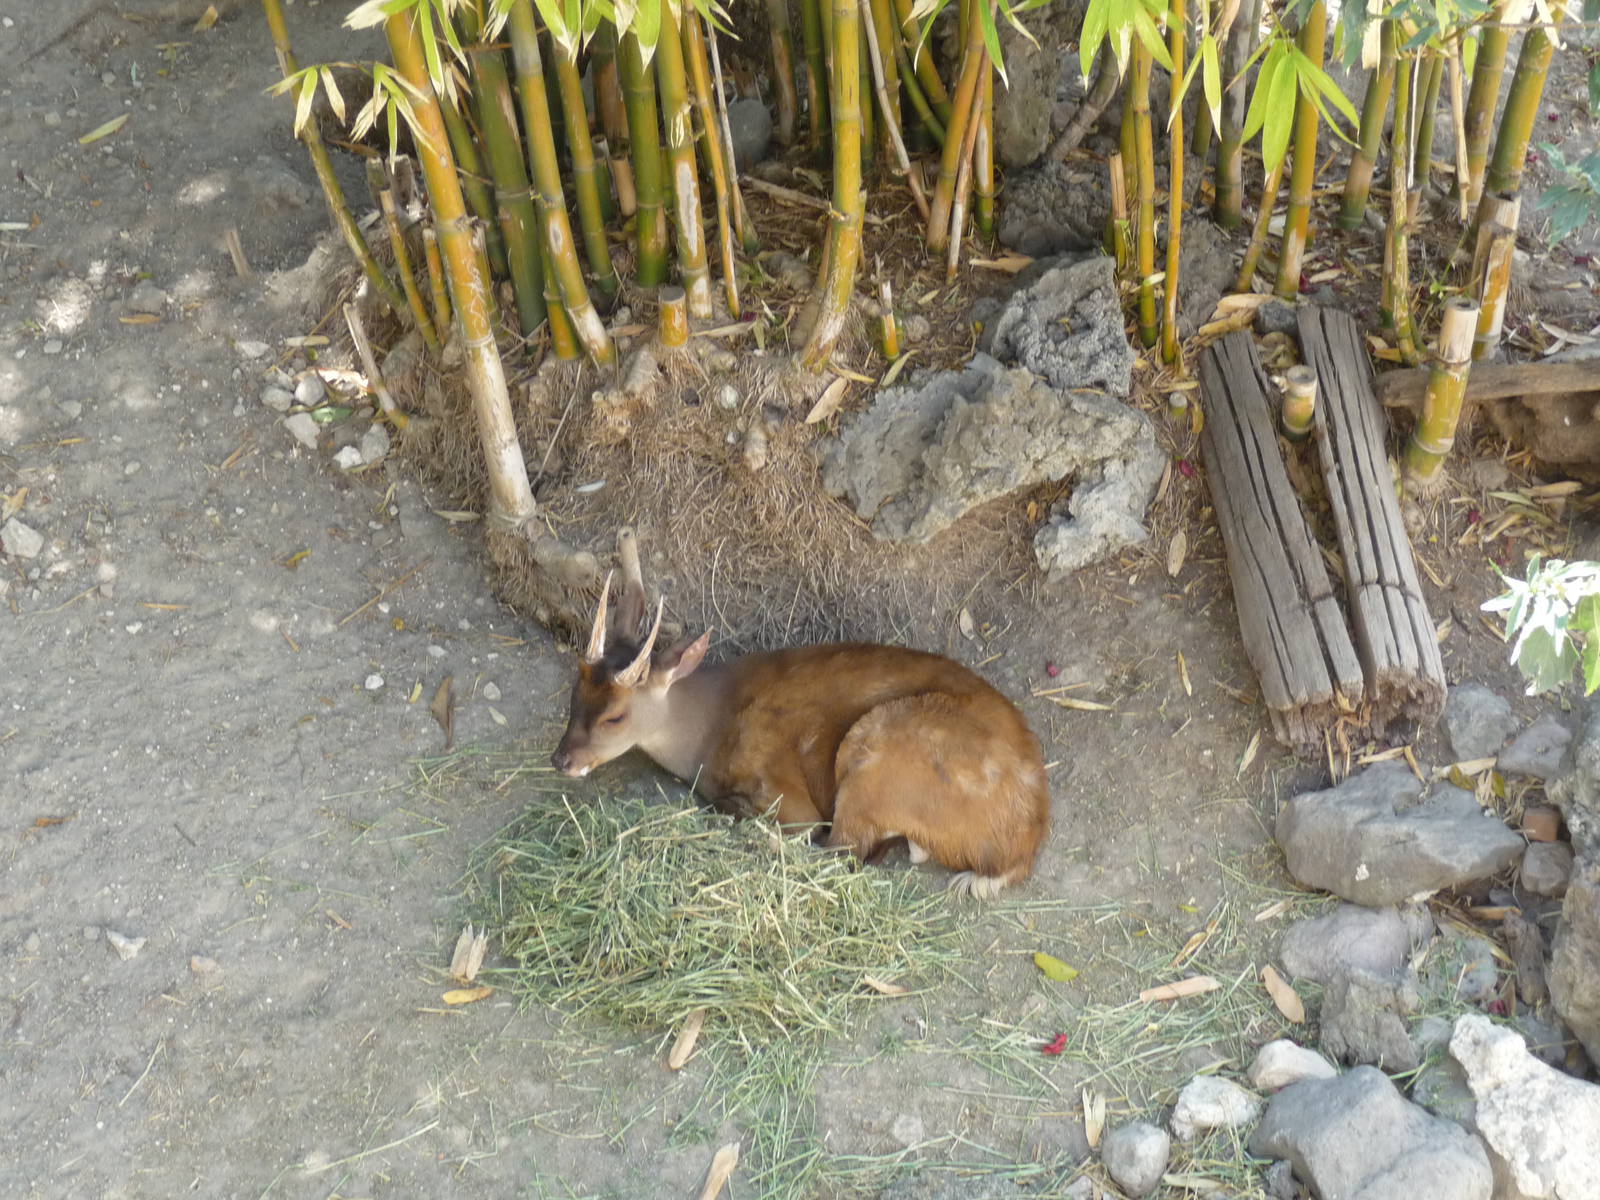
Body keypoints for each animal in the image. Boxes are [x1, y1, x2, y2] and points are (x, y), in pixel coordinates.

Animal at [550, 530, 1051, 898]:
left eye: (616, 716)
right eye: (575, 692)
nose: (562, 760)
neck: (708, 732)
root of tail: (1021, 847)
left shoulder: (783, 790)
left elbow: (790, 823)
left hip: (879, 753)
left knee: (842, 847)